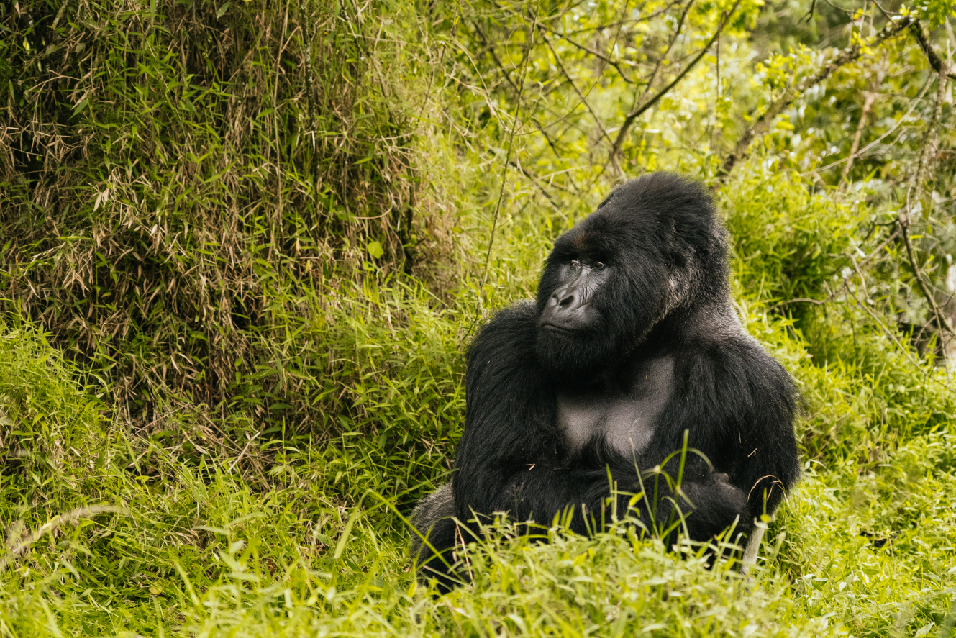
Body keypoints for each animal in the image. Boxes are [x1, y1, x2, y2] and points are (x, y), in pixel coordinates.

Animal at [410, 174, 800, 596]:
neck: (655, 340)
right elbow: (499, 484)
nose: (561, 299)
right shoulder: (508, 337)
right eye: (572, 262)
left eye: (600, 264)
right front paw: (699, 502)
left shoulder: (751, 384)